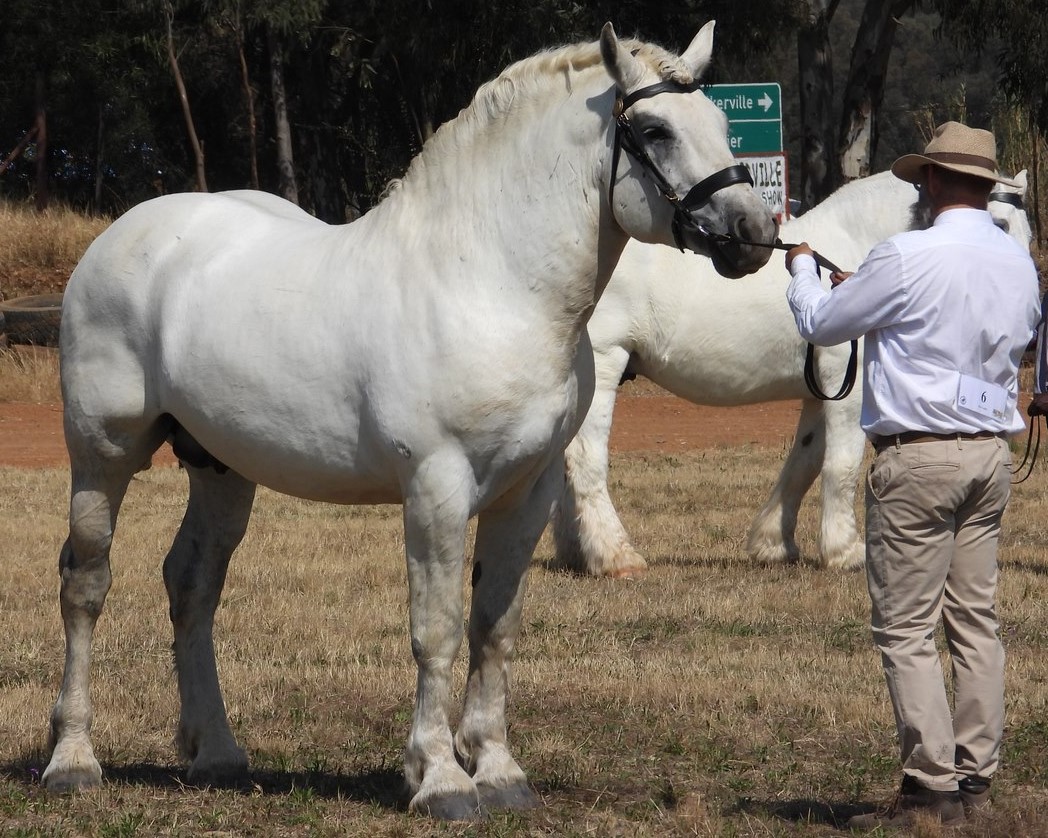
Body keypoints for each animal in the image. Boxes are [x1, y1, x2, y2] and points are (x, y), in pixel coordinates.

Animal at [42, 24, 779, 817]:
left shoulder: (529, 490)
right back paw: (72, 759)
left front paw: (498, 770)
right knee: (87, 584)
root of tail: (121, 237)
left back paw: (216, 753)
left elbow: (495, 626)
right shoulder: (436, 487)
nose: (752, 232)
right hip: (102, 452)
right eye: (655, 129)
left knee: (192, 584)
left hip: (220, 466)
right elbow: (438, 630)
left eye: (723, 124)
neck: (488, 283)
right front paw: (441, 780)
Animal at [557, 168, 1031, 578]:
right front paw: (846, 552)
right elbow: (841, 466)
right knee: (585, 459)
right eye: (997, 222)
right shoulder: (849, 386)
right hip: (605, 363)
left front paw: (773, 544)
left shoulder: (822, 390)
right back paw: (615, 556)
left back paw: (577, 554)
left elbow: (805, 461)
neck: (852, 252)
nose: (1025, 302)